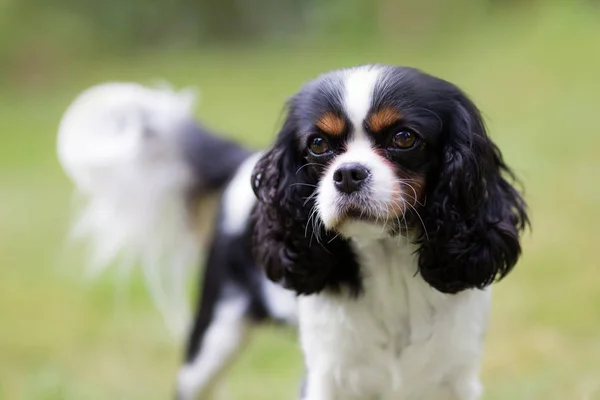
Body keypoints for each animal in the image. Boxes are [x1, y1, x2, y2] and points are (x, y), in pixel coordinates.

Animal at [58, 64, 528, 398]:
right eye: (318, 144)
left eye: (404, 137)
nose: (348, 174)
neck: (388, 261)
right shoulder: (328, 380)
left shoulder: (456, 379)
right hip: (210, 343)